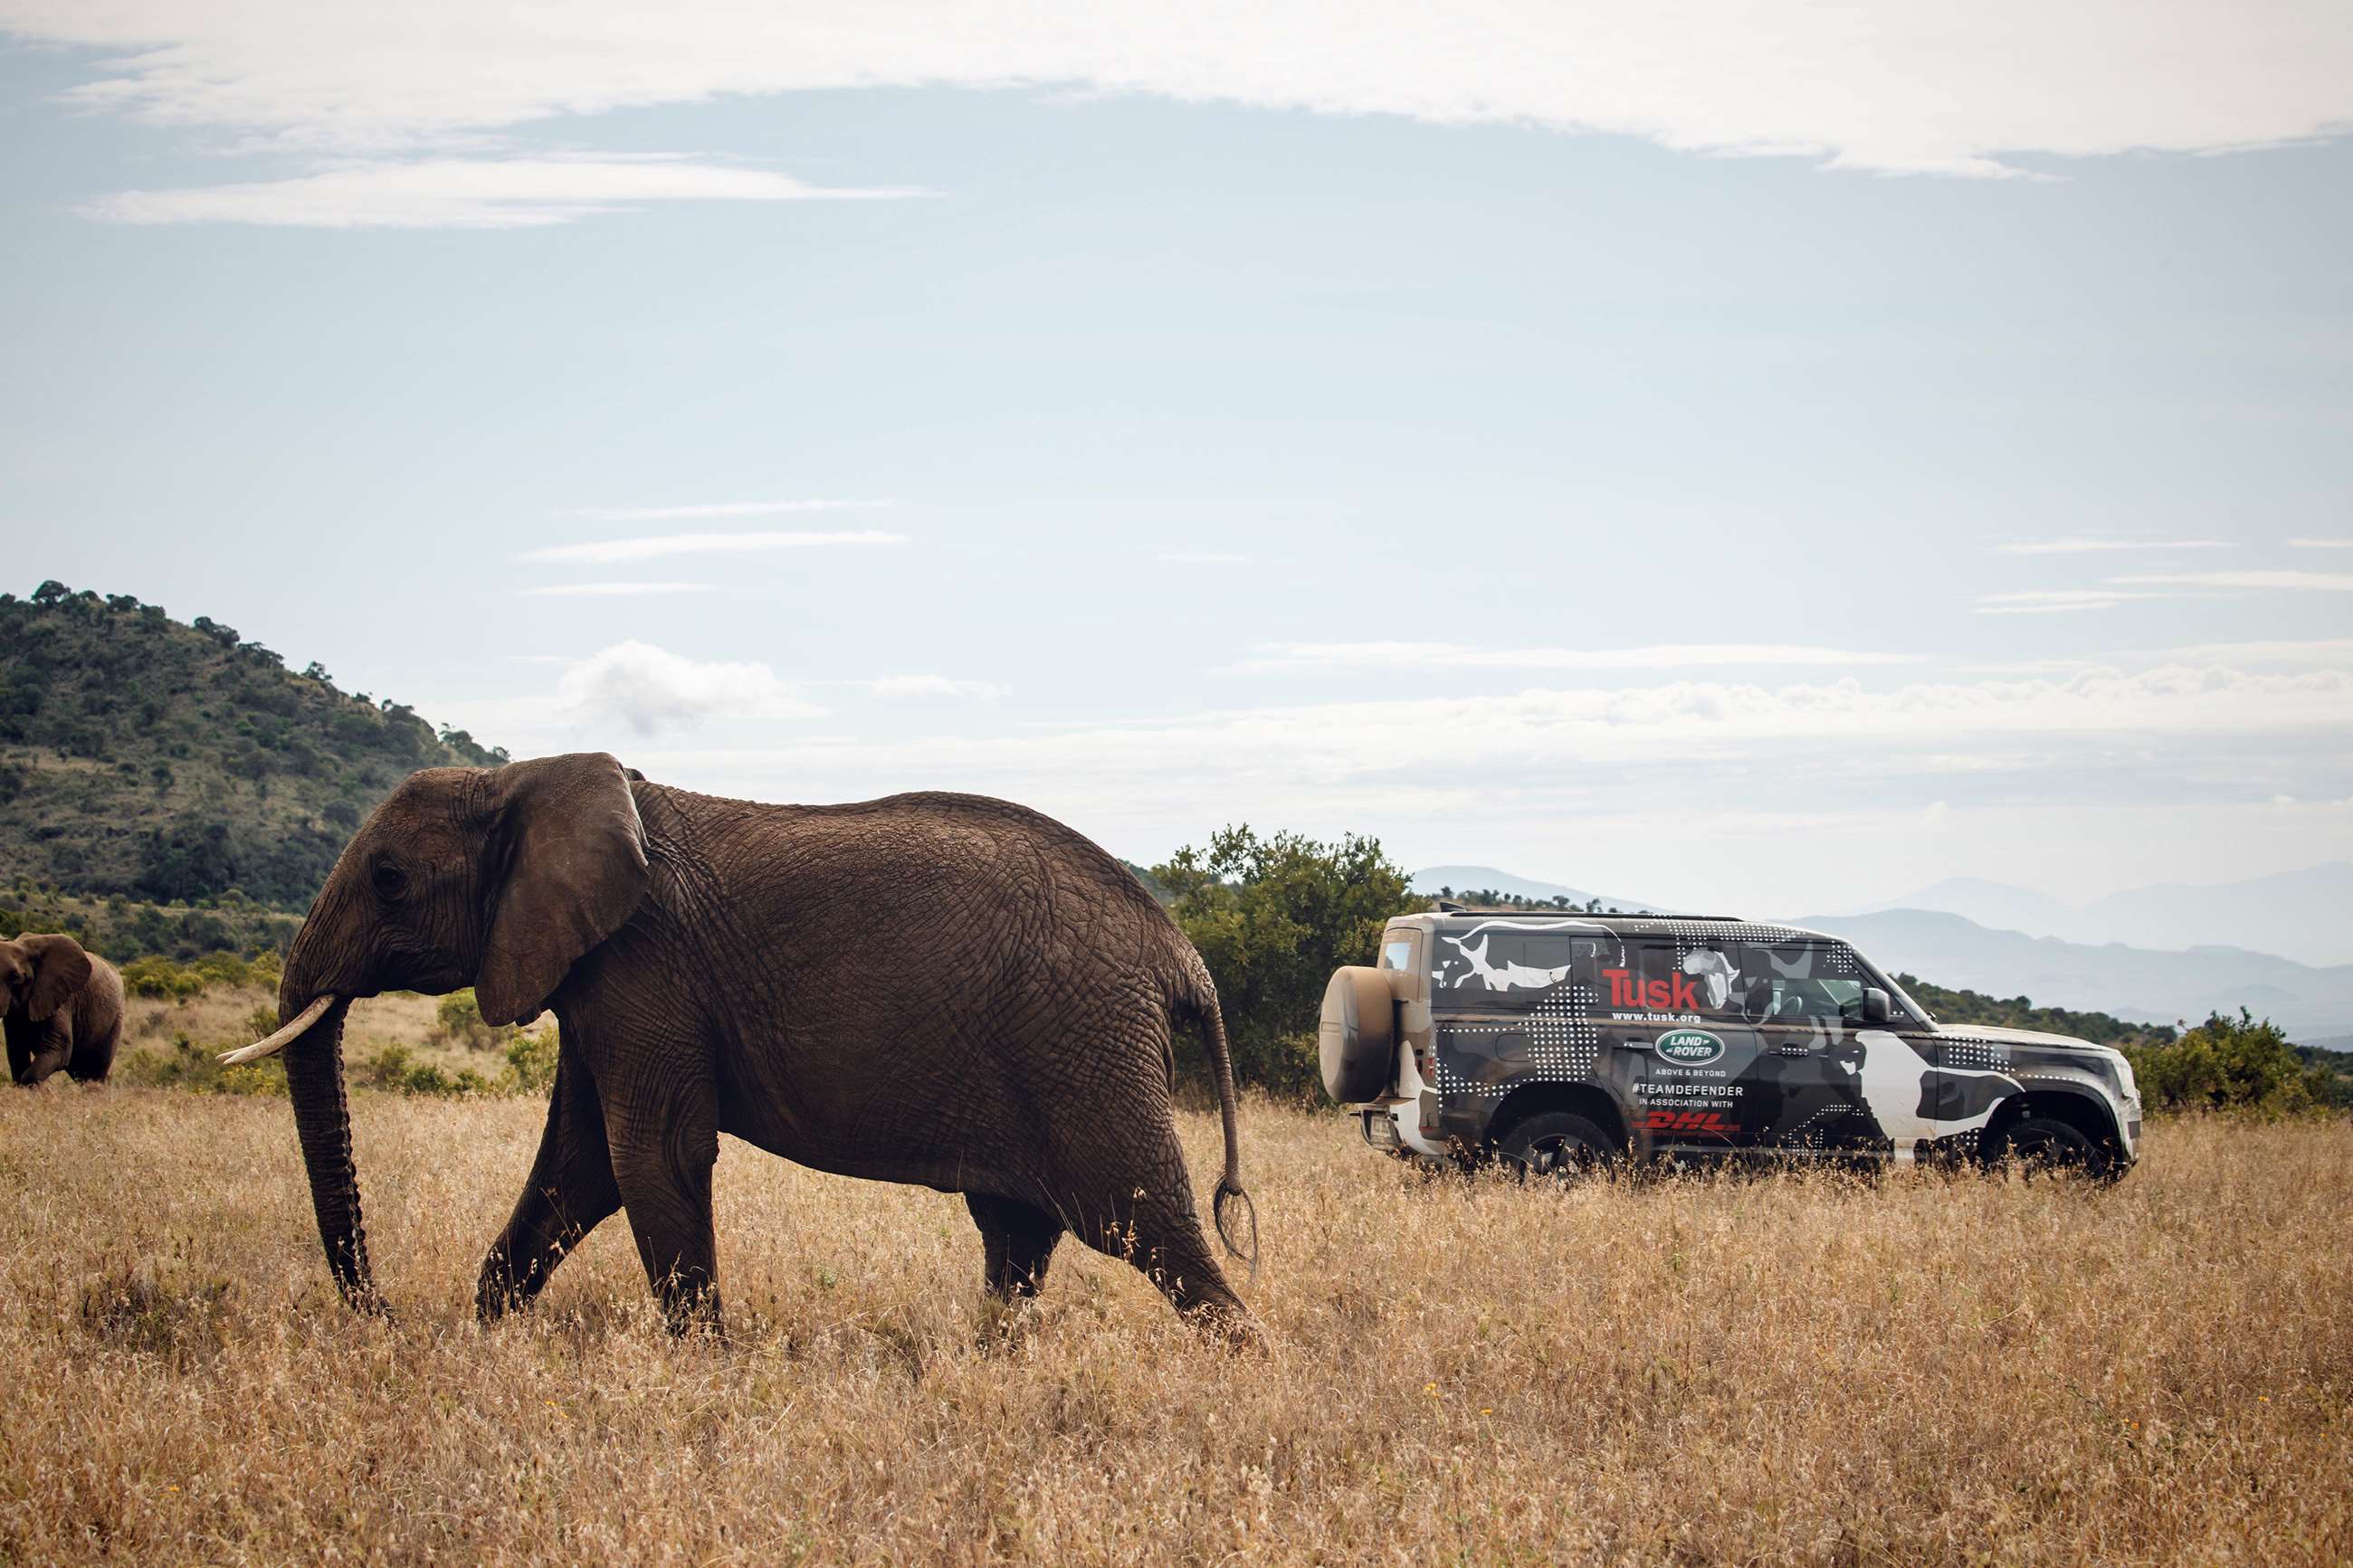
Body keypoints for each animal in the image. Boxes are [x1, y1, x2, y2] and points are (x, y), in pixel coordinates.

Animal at [4, 940, 126, 1086]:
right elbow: (16, 1049)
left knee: (96, 1070)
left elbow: (59, 1048)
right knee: (81, 1071)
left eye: (16, 977)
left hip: (115, 1018)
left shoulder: (60, 998)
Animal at [229, 752, 1261, 1345]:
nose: (385, 1318)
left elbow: (648, 1156)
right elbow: (578, 1167)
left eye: (389, 880)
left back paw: (1243, 1374)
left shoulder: (643, 966)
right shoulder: (596, 978)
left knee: (1146, 1226)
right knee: (1018, 1233)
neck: (528, 779)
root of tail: (1181, 953)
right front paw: (482, 1340)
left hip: (1084, 1049)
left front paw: (702, 1368)